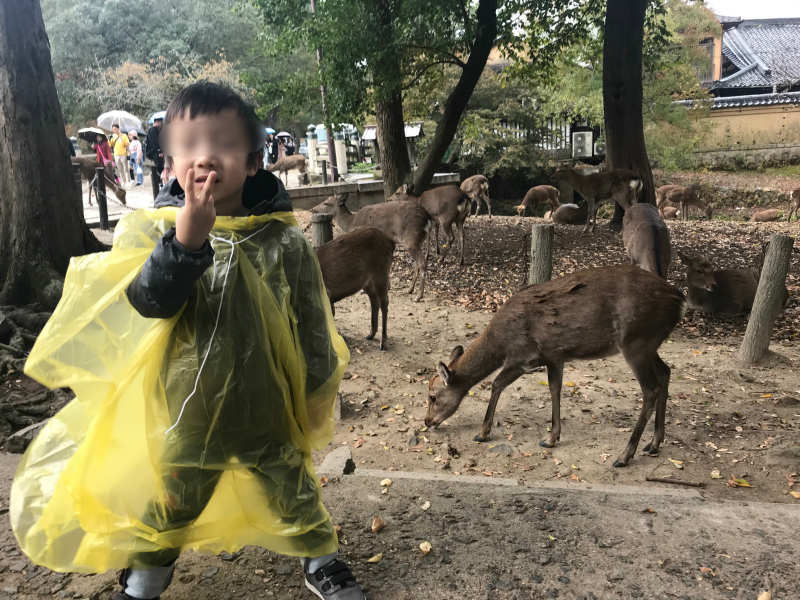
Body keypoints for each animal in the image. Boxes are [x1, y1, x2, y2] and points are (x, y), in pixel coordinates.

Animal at [424, 265, 685, 467]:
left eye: (433, 397)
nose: (427, 422)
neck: (500, 344)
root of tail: (679, 299)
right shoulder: (554, 356)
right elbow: (555, 389)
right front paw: (551, 438)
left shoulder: (523, 357)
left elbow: (497, 384)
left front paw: (482, 433)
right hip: (650, 344)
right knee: (666, 372)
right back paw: (654, 443)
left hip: (636, 342)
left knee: (650, 389)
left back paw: (624, 455)